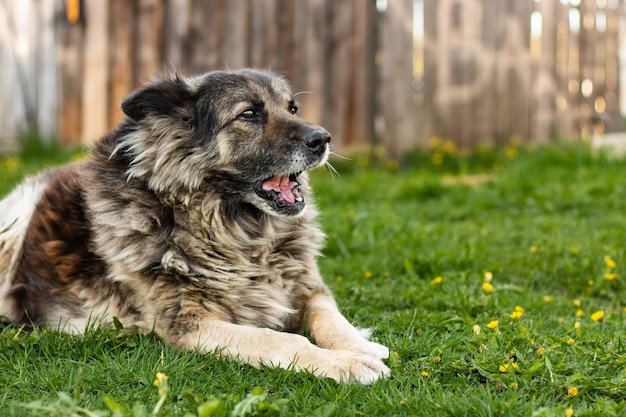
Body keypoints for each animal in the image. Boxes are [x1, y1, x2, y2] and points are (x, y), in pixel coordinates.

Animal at [0, 69, 390, 384]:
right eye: (249, 114)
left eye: (292, 109)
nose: (323, 139)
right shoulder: (188, 322)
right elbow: (280, 339)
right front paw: (346, 364)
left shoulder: (307, 287)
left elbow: (329, 317)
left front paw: (361, 346)